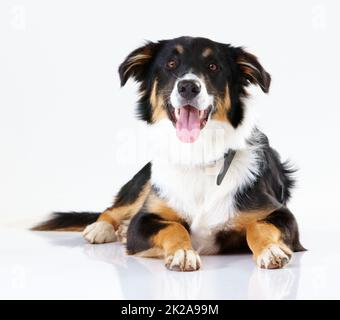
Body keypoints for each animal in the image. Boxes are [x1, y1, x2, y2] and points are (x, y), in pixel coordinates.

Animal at [33, 37, 306, 272]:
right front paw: (182, 253)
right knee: (113, 209)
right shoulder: (142, 222)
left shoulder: (280, 213)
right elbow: (174, 228)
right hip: (144, 181)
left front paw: (270, 250)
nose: (188, 86)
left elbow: (258, 226)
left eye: (213, 66)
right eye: (170, 64)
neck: (198, 156)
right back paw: (102, 228)